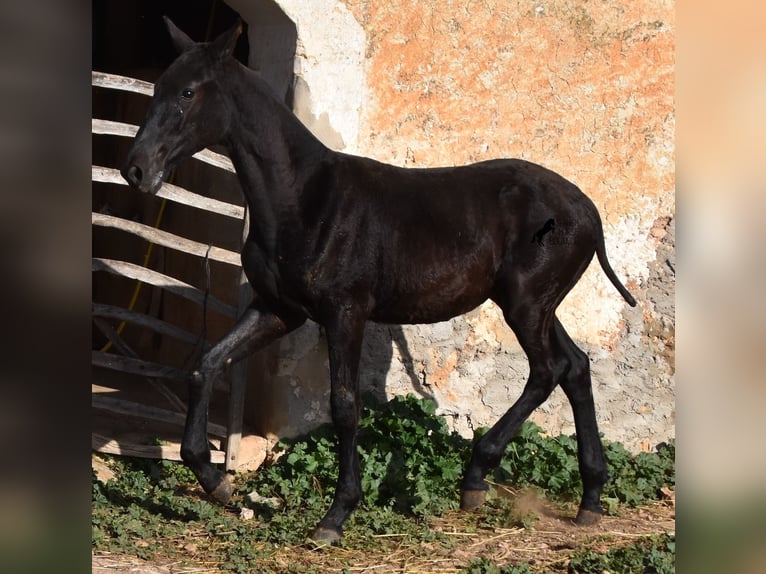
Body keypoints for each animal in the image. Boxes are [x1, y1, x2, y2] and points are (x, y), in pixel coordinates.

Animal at [124, 18, 640, 548]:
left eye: (188, 92)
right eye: (159, 87)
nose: (136, 169)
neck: (303, 200)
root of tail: (588, 210)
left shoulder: (344, 313)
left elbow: (344, 406)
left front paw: (335, 515)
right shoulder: (278, 309)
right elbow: (206, 364)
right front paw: (214, 479)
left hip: (526, 305)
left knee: (548, 369)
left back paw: (479, 476)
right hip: (537, 305)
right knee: (575, 367)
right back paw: (588, 497)